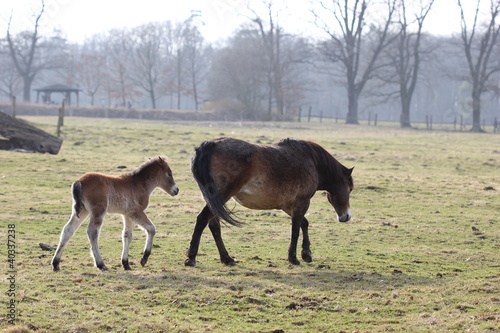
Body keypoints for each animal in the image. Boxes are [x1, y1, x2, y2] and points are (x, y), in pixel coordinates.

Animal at [186, 136, 354, 266]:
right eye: (350, 189)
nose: (346, 216)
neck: (311, 161)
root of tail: (210, 145)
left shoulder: (287, 205)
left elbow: (304, 223)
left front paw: (306, 253)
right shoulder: (302, 201)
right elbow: (295, 229)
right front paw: (293, 258)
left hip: (214, 200)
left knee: (214, 225)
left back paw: (227, 259)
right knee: (202, 219)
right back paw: (191, 258)